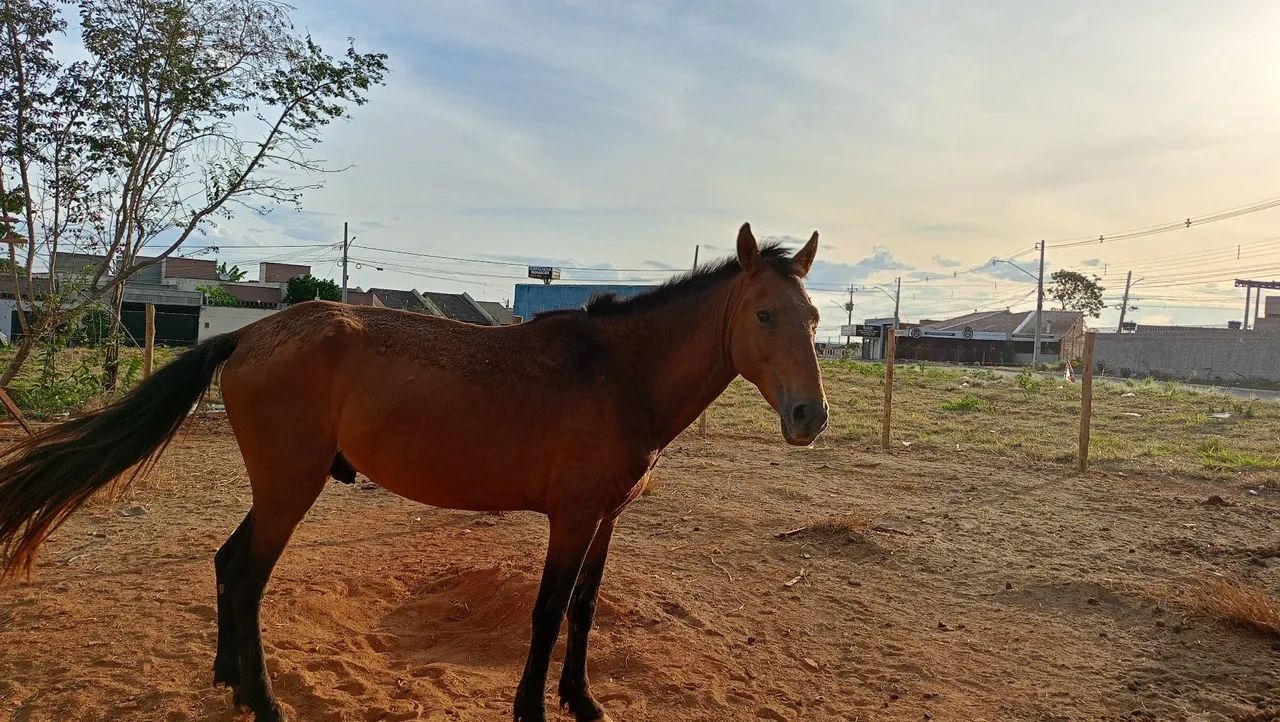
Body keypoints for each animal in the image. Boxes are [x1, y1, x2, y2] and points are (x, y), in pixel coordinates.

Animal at [0, 223, 828, 721]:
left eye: (816, 319)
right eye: (763, 316)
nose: (809, 417)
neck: (616, 371)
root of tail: (249, 336)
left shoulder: (606, 517)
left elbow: (586, 610)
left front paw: (583, 700)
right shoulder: (569, 518)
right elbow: (547, 611)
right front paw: (533, 707)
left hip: (276, 489)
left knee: (226, 564)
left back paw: (229, 680)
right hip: (288, 489)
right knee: (246, 574)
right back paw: (264, 701)